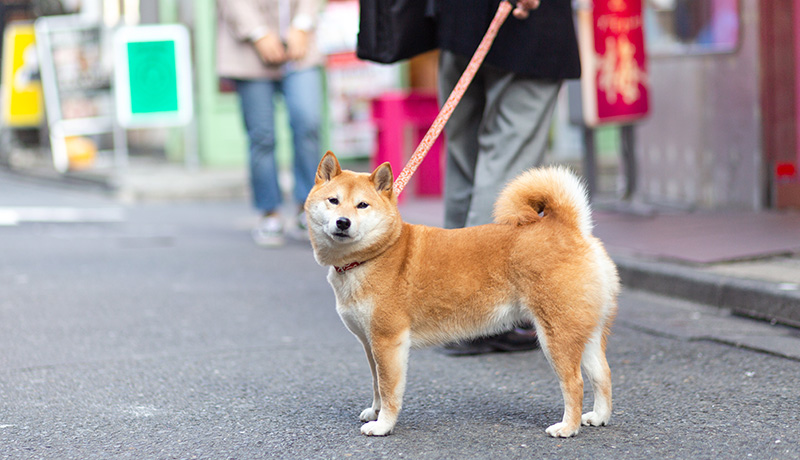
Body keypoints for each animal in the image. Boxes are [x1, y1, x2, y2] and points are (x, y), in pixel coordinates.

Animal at [304, 152, 620, 438]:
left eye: (362, 205)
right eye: (334, 201)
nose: (343, 222)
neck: (375, 254)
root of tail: (570, 228)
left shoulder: (388, 341)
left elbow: (389, 389)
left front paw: (383, 425)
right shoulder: (370, 344)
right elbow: (376, 384)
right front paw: (375, 411)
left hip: (556, 334)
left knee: (575, 383)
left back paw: (568, 427)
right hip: (586, 330)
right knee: (603, 374)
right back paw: (598, 417)